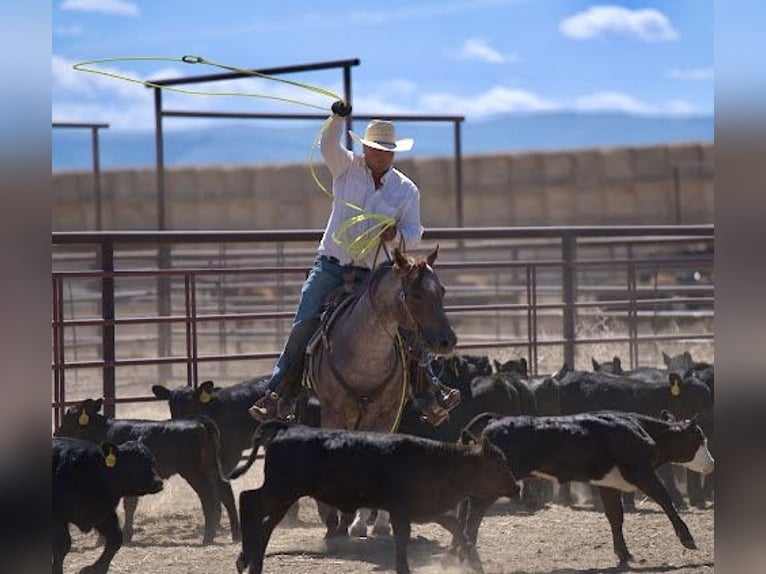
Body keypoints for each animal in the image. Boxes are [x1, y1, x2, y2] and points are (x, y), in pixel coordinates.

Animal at [303, 245, 458, 538]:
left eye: (442, 290)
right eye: (416, 295)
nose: (447, 340)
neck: (364, 358)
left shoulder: (386, 414)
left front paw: (364, 522)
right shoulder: (332, 414)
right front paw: (336, 520)